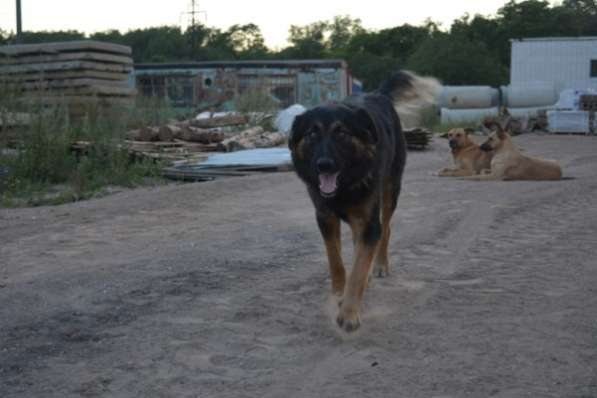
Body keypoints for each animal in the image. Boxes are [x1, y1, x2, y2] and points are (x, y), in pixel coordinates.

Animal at [288, 71, 438, 332]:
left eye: (341, 133)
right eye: (312, 134)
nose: (324, 165)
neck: (344, 186)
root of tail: (377, 93)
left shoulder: (370, 223)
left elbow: (358, 269)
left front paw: (349, 313)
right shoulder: (325, 217)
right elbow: (336, 259)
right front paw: (340, 293)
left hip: (390, 191)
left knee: (386, 229)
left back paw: (379, 265)